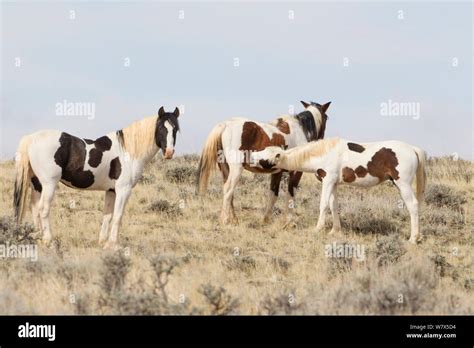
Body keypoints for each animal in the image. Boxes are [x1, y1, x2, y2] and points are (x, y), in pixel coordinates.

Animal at [12, 106, 181, 250]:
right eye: (161, 128)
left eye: (176, 129)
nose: (169, 153)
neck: (128, 151)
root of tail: (31, 138)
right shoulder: (123, 190)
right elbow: (118, 216)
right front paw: (113, 245)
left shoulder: (111, 190)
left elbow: (107, 215)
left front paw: (103, 242)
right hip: (49, 184)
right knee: (43, 208)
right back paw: (48, 240)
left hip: (37, 184)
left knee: (35, 208)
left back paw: (37, 237)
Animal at [196, 100, 330, 226]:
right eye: (327, 117)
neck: (299, 131)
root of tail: (224, 125)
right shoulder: (296, 172)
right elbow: (290, 195)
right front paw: (289, 222)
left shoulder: (277, 172)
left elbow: (273, 195)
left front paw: (266, 219)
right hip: (236, 169)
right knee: (228, 189)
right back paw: (224, 219)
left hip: (225, 169)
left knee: (229, 192)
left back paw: (234, 219)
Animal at [250, 137, 428, 243]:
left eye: (265, 158)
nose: (250, 156)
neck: (323, 153)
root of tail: (413, 149)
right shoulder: (334, 183)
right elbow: (333, 206)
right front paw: (335, 231)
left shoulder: (328, 180)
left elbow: (323, 205)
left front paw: (318, 229)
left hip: (403, 184)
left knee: (413, 206)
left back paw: (413, 238)